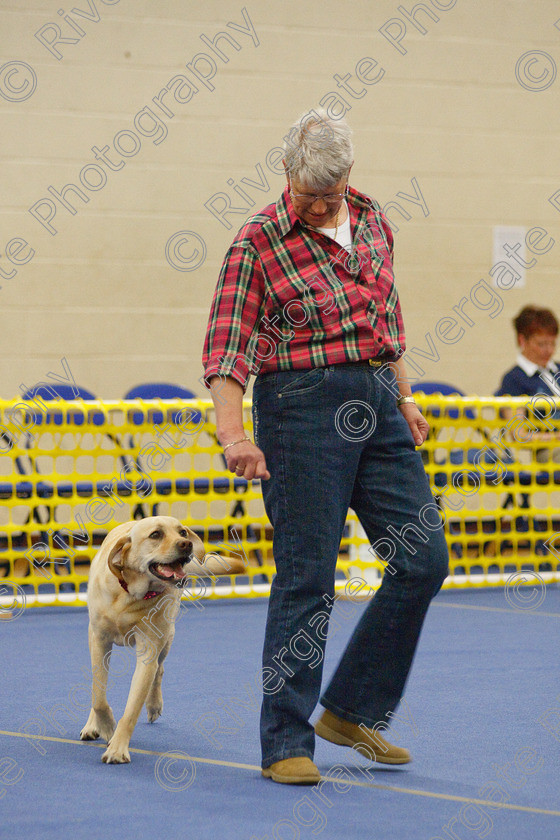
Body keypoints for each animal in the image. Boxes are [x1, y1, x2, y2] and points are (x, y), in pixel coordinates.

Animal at [80, 516, 244, 764]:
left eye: (183, 532)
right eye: (155, 535)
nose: (186, 544)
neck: (130, 596)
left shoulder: (149, 649)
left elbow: (132, 708)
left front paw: (117, 747)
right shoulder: (99, 638)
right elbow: (98, 695)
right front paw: (106, 725)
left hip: (167, 637)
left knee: (159, 670)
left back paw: (154, 704)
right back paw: (92, 725)